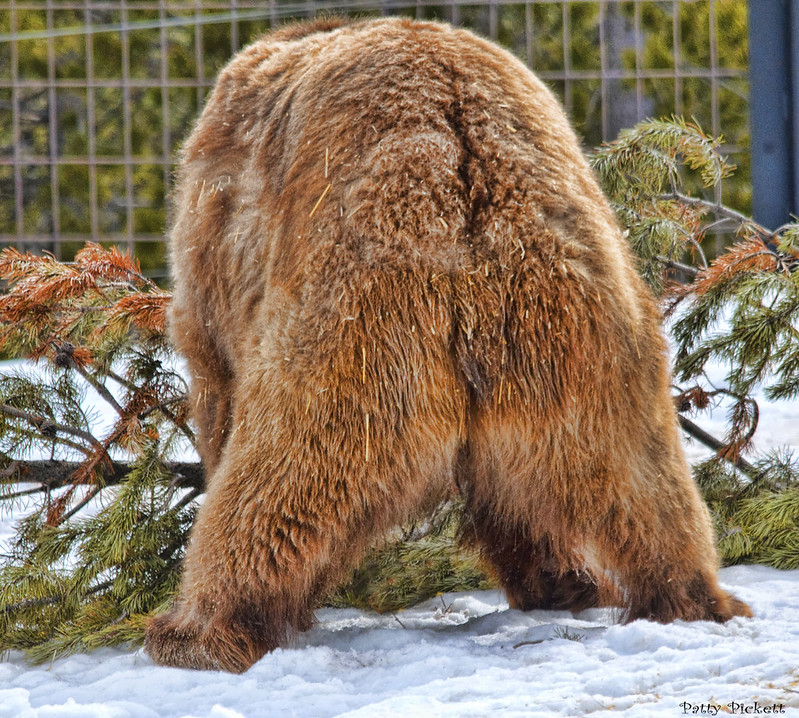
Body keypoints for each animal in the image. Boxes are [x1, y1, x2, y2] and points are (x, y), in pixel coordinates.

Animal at [145, 16, 751, 673]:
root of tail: (463, 193)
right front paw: (559, 577)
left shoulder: (217, 256)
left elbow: (216, 388)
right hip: (587, 338)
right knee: (643, 479)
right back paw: (674, 594)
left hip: (351, 321)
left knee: (283, 466)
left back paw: (196, 629)